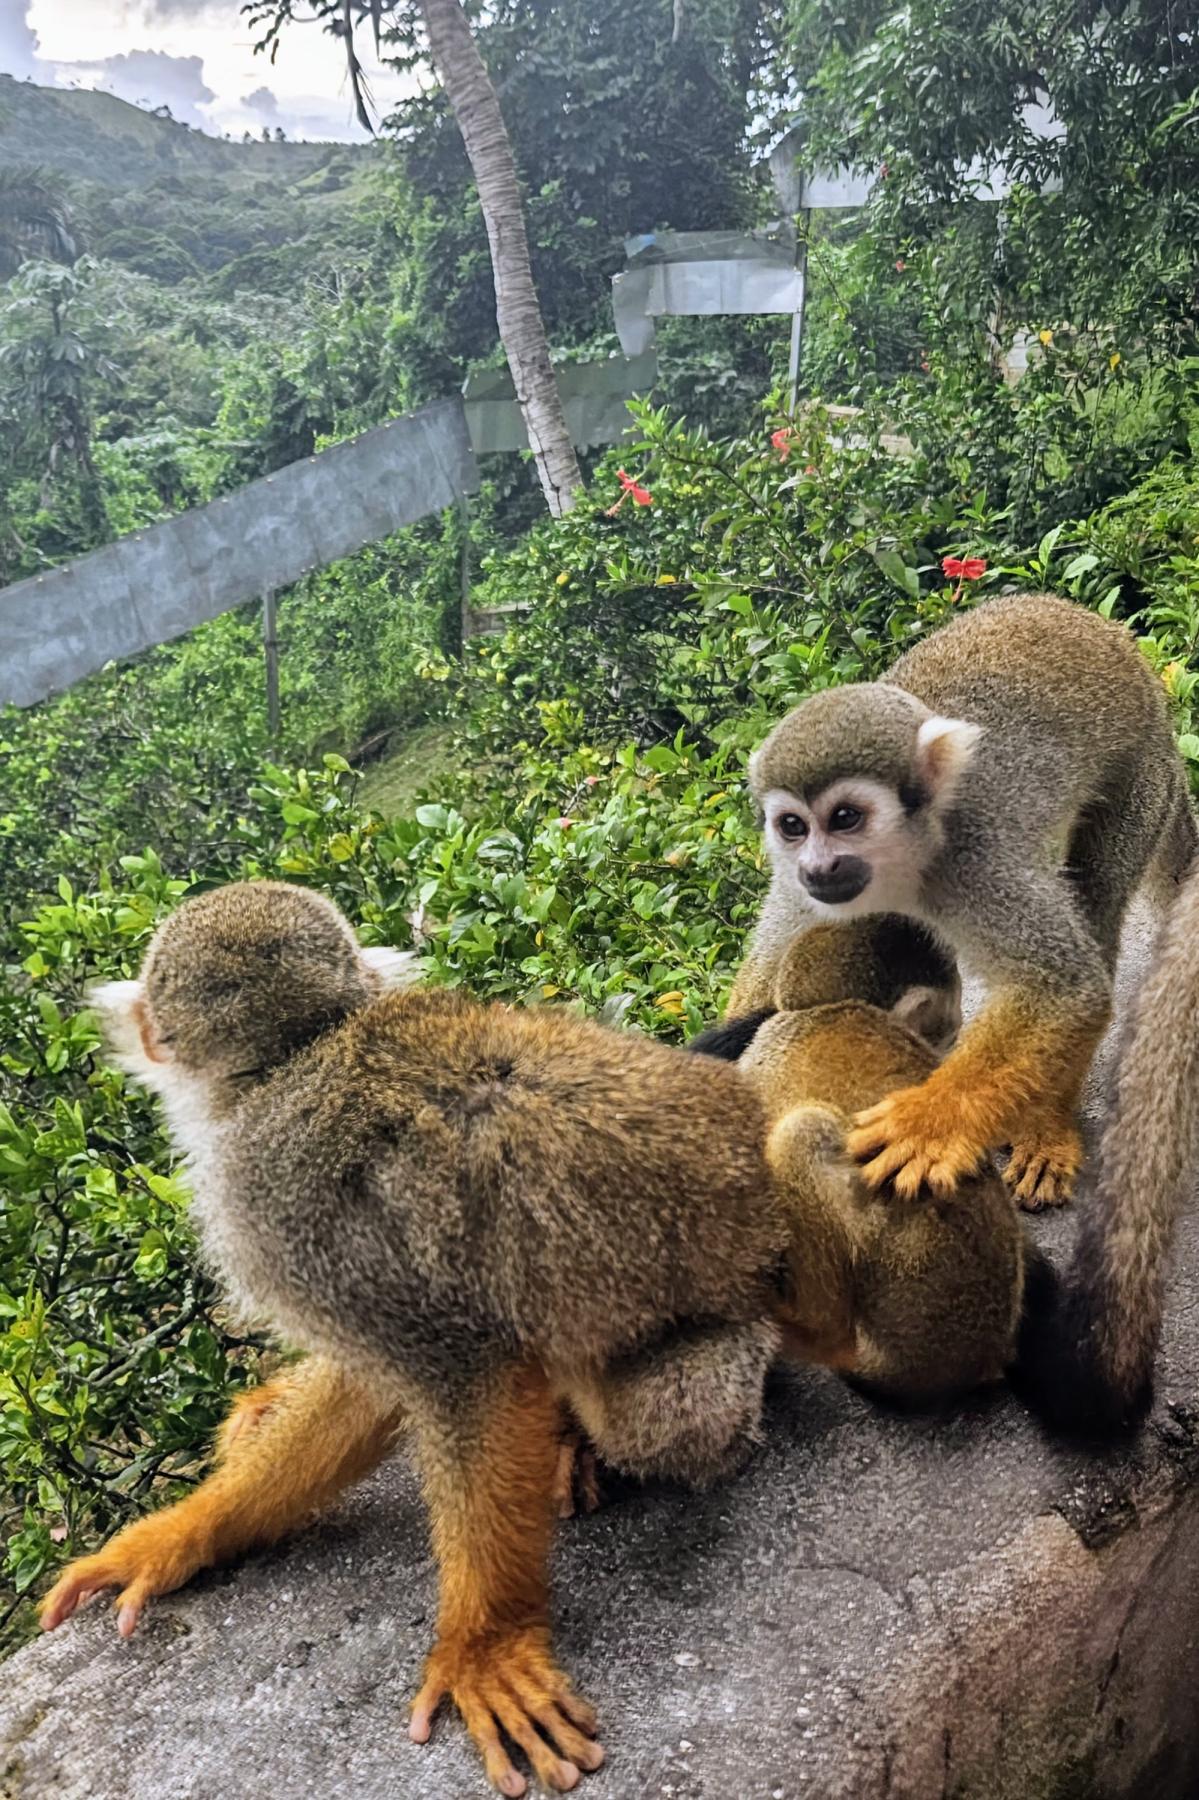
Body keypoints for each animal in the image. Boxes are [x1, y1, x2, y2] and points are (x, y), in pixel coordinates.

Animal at [40, 879, 789, 1798]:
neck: (300, 1055)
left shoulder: (269, 1201)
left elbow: (460, 1374)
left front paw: (482, 1648)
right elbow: (372, 1383)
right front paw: (181, 1533)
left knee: (674, 1414)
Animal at [743, 592, 1196, 1210]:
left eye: (845, 818)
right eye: (792, 826)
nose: (819, 866)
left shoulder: (974, 858)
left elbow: (1063, 988)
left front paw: (926, 1124)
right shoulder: (798, 886)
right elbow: (767, 971)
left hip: (1142, 779)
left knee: (1096, 900)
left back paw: (1048, 1124)